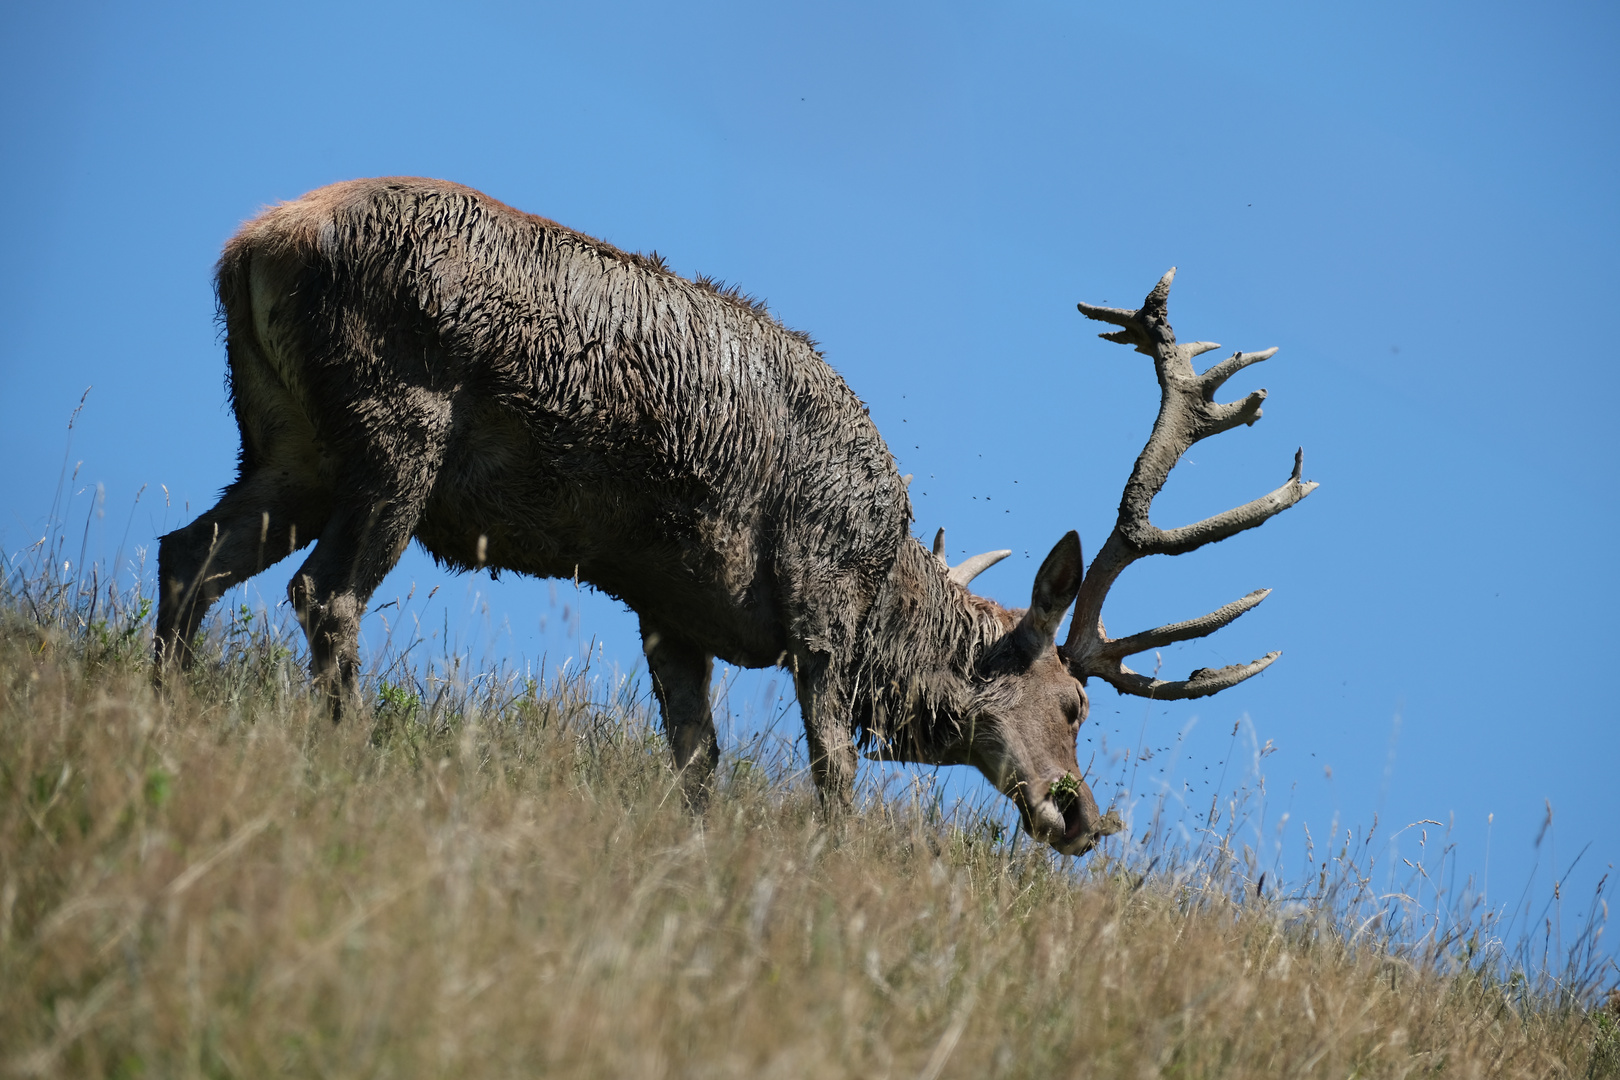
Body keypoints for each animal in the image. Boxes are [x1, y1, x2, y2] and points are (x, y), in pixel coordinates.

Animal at [154, 177, 1315, 854]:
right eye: (1073, 705)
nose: (1082, 815)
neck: (891, 591)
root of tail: (254, 243)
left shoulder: (673, 609)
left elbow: (696, 762)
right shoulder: (816, 602)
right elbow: (833, 771)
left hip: (290, 445)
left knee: (186, 552)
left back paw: (162, 698)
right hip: (397, 427)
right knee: (324, 593)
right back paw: (343, 749)